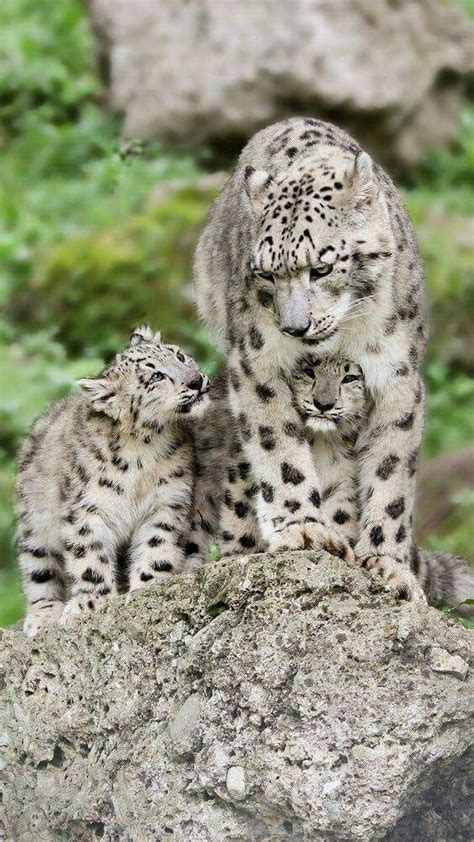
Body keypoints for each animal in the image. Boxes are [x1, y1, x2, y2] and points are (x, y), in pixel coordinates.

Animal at [194, 118, 428, 600]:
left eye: (321, 268)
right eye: (266, 273)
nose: (294, 327)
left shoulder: (398, 378)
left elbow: (392, 471)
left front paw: (387, 564)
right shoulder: (257, 361)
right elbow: (277, 443)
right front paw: (302, 528)